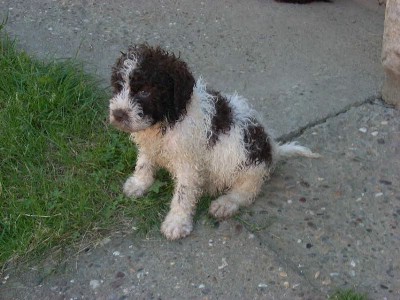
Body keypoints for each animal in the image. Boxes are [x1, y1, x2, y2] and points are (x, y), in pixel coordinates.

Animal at [108, 44, 318, 240]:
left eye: (144, 91)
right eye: (119, 86)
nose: (118, 114)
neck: (169, 119)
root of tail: (272, 148)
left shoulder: (189, 163)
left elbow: (183, 193)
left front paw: (177, 222)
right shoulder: (149, 145)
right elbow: (144, 163)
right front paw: (139, 184)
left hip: (250, 166)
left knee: (246, 192)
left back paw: (226, 203)